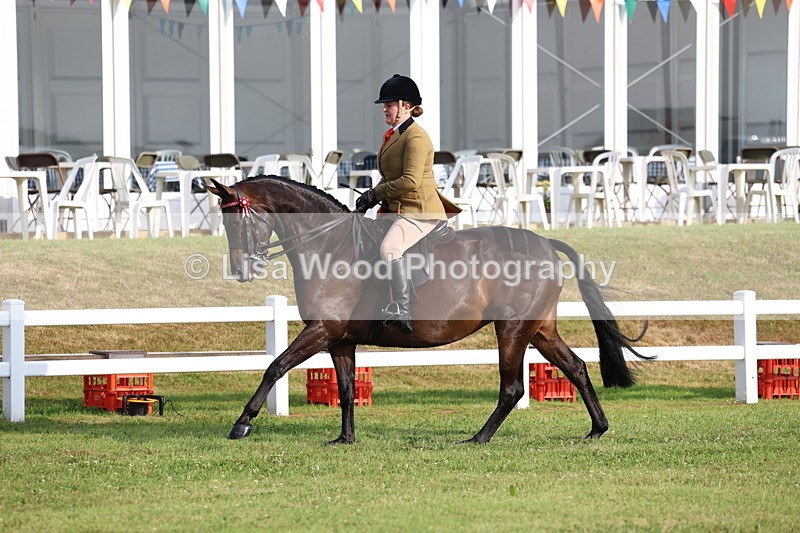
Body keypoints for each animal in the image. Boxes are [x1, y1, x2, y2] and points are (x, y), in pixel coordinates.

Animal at [206, 175, 649, 444]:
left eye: (237, 221)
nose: (242, 271)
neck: (329, 246)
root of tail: (544, 242)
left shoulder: (320, 330)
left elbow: (274, 366)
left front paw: (242, 423)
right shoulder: (339, 340)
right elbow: (346, 390)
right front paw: (345, 439)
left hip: (512, 330)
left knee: (512, 388)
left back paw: (478, 438)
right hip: (539, 330)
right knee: (576, 367)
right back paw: (597, 429)